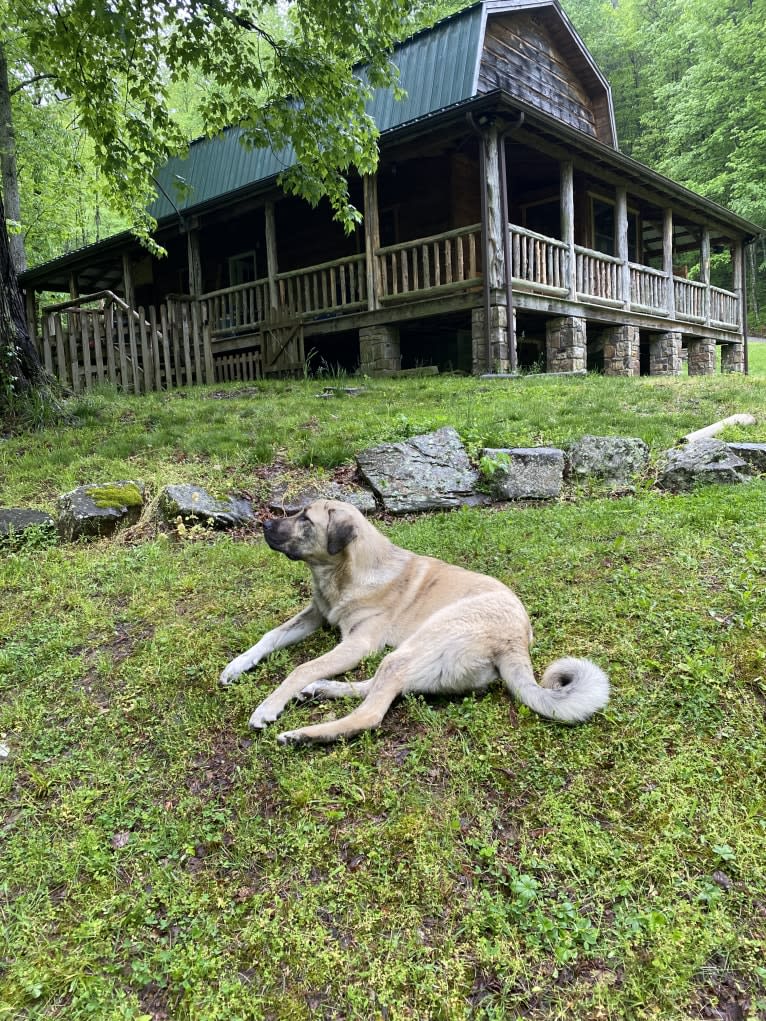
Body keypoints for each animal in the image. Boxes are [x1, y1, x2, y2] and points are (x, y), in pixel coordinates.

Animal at [221, 500, 612, 747]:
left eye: (305, 519)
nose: (264, 524)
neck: (345, 573)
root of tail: (515, 642)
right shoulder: (316, 614)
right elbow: (270, 636)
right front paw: (235, 666)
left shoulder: (357, 644)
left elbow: (300, 668)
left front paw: (269, 706)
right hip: (414, 658)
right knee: (376, 688)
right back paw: (323, 689)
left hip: (418, 644)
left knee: (370, 714)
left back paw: (305, 734)